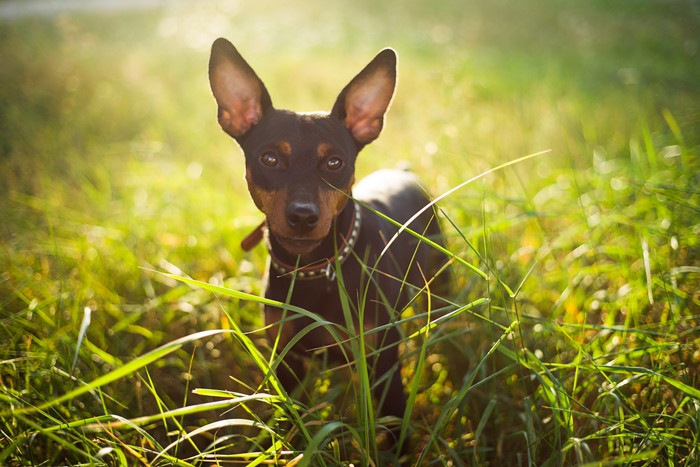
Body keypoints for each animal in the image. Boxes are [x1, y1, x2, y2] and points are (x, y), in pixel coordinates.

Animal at [208, 39, 446, 450]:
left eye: (335, 162)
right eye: (269, 158)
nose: (303, 216)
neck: (313, 268)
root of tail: (404, 173)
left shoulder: (383, 364)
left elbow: (393, 425)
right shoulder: (287, 359)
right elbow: (291, 422)